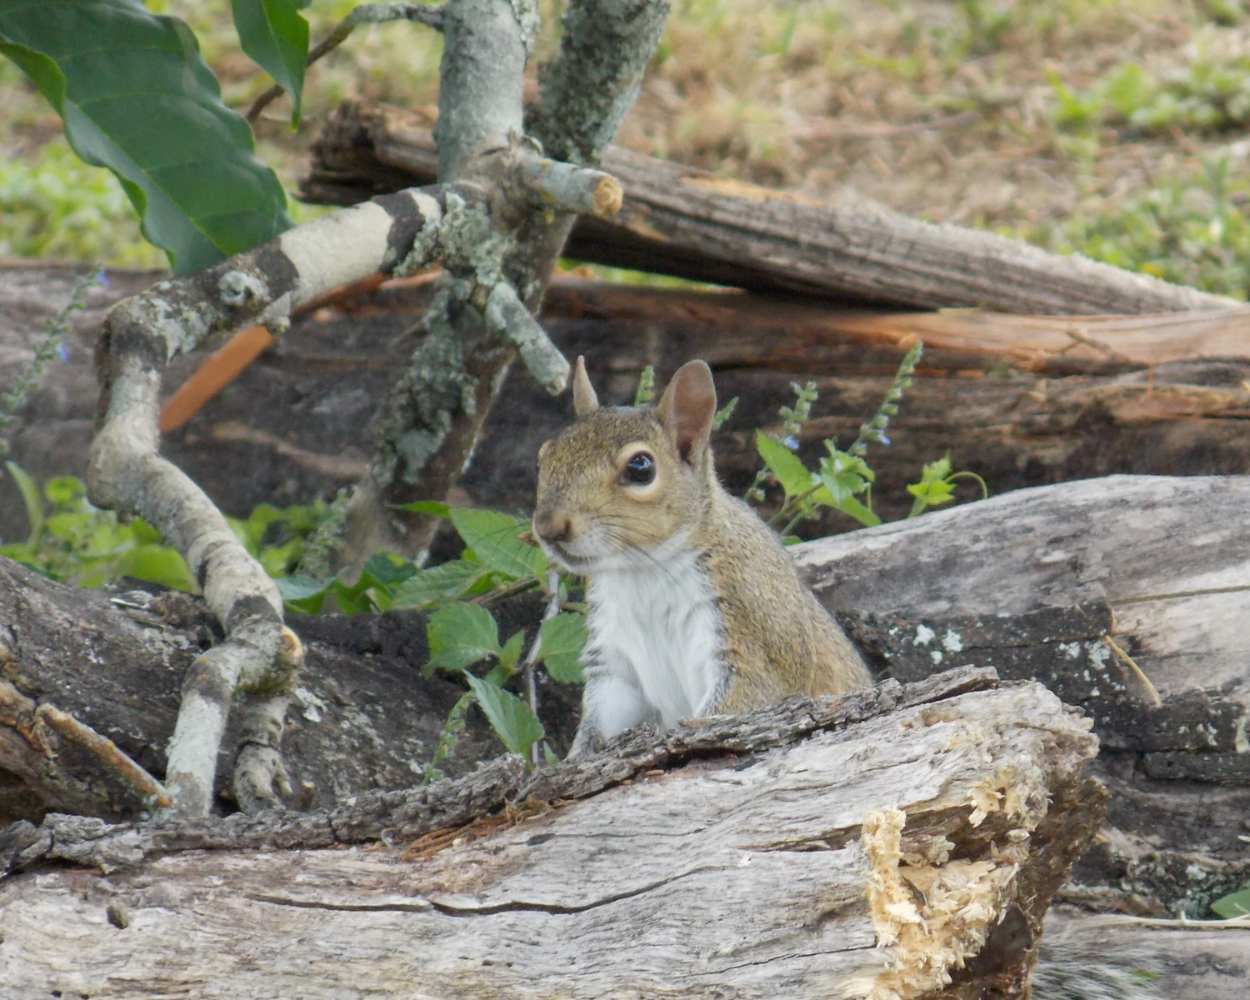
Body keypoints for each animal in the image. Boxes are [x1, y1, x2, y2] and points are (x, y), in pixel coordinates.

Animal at [532, 356, 871, 759]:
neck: (642, 571)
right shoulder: (616, 659)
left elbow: (736, 705)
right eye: (544, 456)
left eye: (641, 467)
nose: (548, 527)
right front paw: (576, 758)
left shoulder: (752, 632)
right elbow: (604, 716)